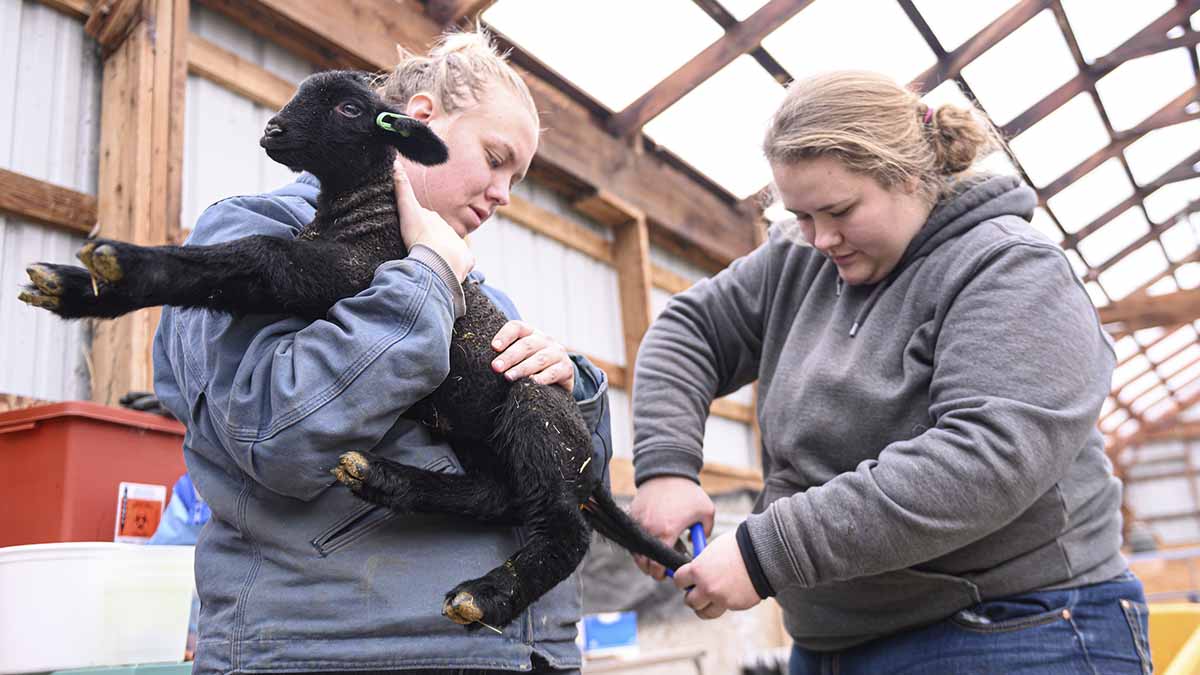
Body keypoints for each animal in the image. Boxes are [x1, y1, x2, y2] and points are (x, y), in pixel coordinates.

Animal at [18, 68, 691, 624]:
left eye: (347, 108)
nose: (273, 129)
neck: (359, 211)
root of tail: (591, 468)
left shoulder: (341, 271)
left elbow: (252, 255)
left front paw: (117, 268)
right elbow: (239, 265)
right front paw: (79, 287)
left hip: (533, 419)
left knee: (565, 533)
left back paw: (486, 593)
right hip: (475, 433)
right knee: (495, 495)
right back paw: (382, 480)